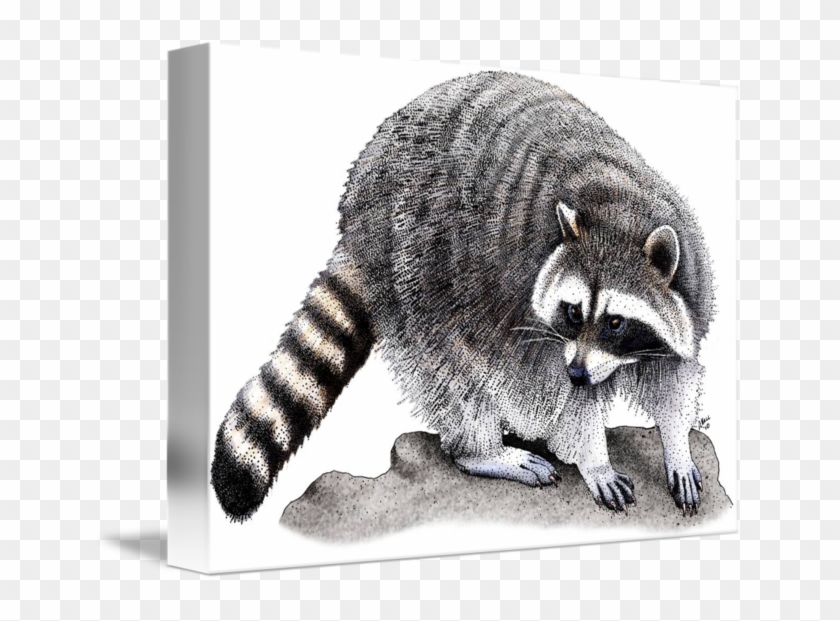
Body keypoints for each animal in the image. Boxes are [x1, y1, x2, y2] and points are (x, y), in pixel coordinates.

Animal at [210, 71, 715, 522]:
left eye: (614, 322)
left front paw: (676, 445)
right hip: (419, 277)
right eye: (573, 312)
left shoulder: (692, 285)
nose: (577, 371)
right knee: (453, 377)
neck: (619, 214)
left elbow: (674, 376)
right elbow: (563, 401)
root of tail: (362, 208)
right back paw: (481, 451)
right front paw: (595, 459)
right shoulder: (534, 322)